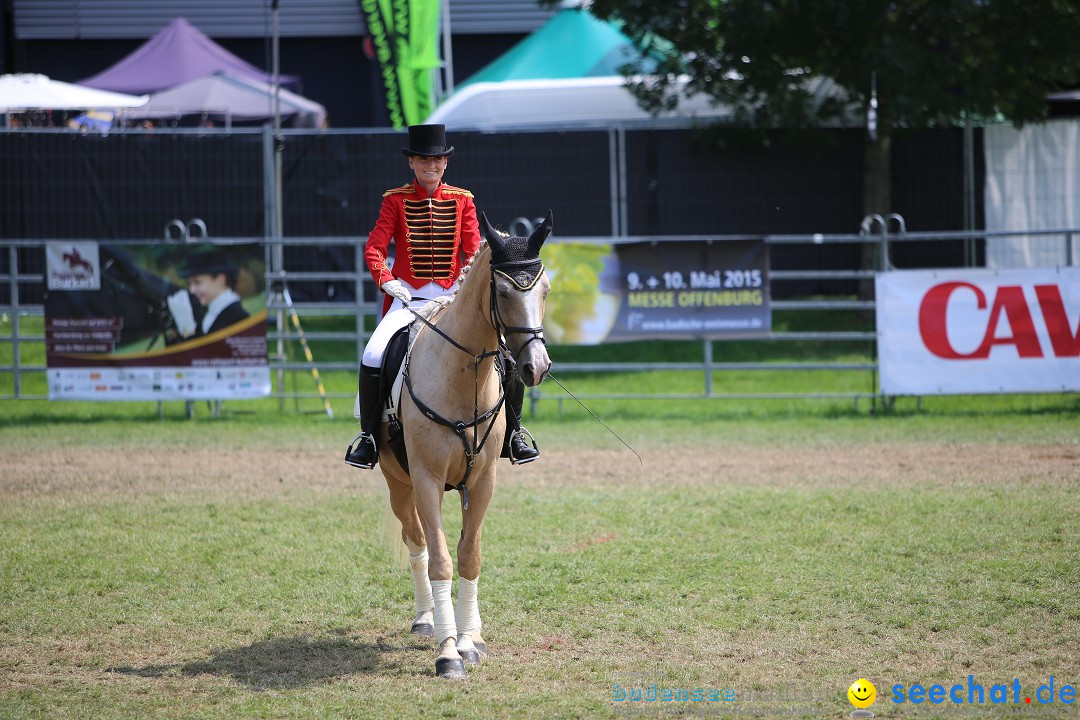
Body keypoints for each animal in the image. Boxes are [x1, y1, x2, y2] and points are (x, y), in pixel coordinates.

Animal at [378, 209, 548, 682]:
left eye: (544, 288)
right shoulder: (427, 480)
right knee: (415, 540)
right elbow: (439, 559)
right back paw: (427, 620)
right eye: (504, 291)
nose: (537, 367)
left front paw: (469, 642)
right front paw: (448, 651)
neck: (461, 372)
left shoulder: (483, 480)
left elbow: (469, 556)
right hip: (399, 484)